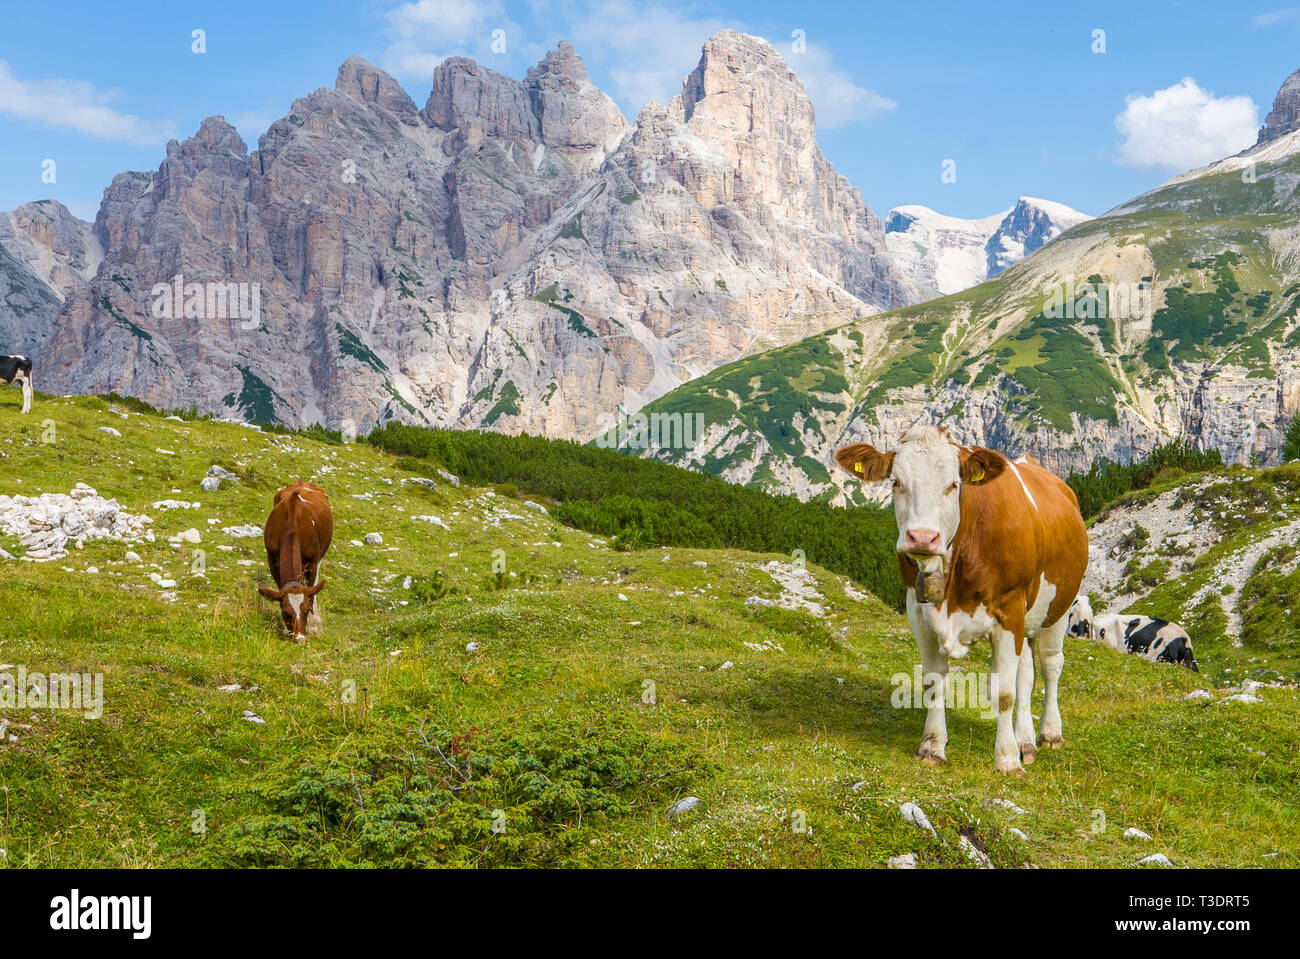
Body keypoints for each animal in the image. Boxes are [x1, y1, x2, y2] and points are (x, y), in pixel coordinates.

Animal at [258, 480, 333, 642]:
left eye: (306, 610)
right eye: (286, 613)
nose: (300, 638)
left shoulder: (312, 562)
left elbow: (311, 592)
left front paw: (313, 626)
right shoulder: (272, 562)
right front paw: (285, 630)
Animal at [836, 425, 1089, 775]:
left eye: (954, 484)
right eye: (896, 482)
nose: (922, 538)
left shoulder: (1009, 612)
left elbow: (1004, 692)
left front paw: (1006, 759)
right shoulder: (918, 613)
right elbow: (934, 683)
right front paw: (932, 747)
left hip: (1060, 605)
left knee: (1051, 665)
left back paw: (1049, 734)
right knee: (1026, 673)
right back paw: (1026, 743)